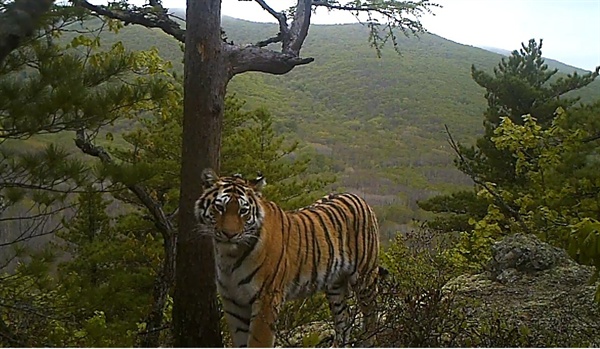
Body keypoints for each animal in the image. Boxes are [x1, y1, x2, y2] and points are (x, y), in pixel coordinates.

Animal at [193, 168, 380, 346]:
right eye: (220, 208)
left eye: (243, 211)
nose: (229, 234)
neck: (229, 255)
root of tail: (356, 196)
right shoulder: (233, 302)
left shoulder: (266, 299)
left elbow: (257, 342)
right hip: (335, 284)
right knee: (344, 318)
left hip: (365, 277)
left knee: (371, 314)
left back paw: (368, 342)